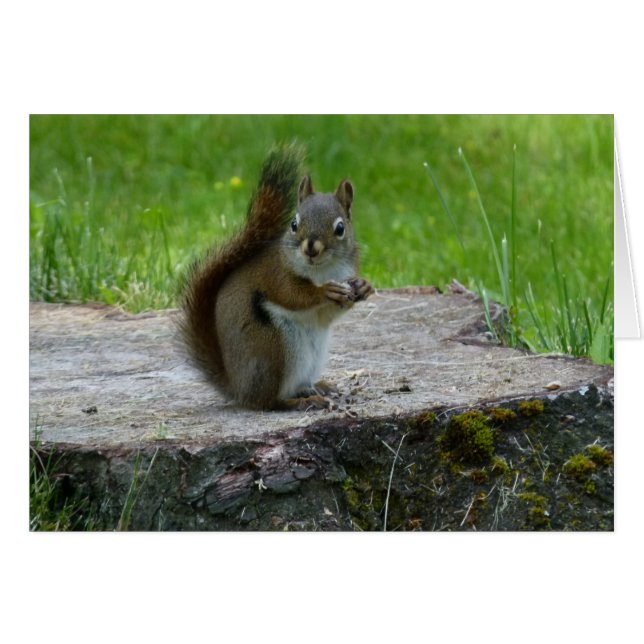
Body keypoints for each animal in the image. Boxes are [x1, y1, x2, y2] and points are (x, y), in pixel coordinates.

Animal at [180, 144, 374, 410]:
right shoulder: (276, 274)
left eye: (340, 228)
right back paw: (301, 401)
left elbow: (328, 314)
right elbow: (292, 295)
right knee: (267, 402)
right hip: (274, 349)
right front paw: (323, 291)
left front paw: (363, 286)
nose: (311, 248)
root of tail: (238, 388)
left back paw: (318, 387)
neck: (322, 270)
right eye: (294, 224)